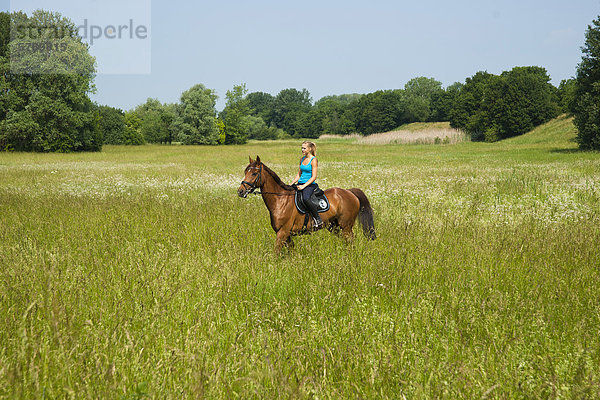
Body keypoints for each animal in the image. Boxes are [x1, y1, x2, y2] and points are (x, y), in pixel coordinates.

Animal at [237, 155, 372, 252]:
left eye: (254, 173)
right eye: (245, 172)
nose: (240, 191)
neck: (280, 200)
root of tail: (349, 192)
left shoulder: (282, 233)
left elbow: (276, 252)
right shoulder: (287, 235)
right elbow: (291, 252)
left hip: (346, 226)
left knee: (350, 241)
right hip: (334, 226)